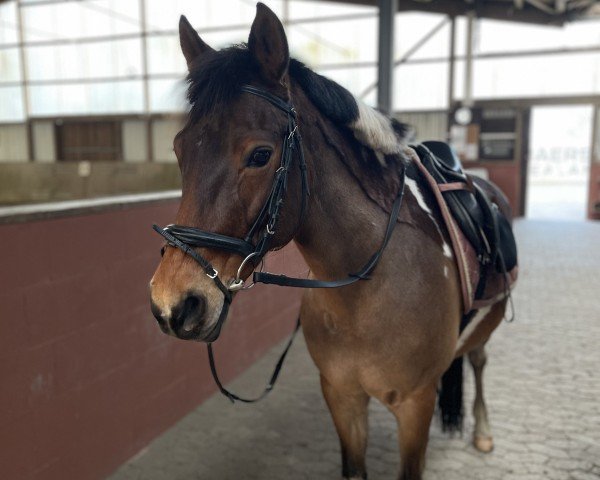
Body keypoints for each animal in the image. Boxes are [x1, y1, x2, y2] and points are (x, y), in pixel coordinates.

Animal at [150, 4, 516, 480]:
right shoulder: (343, 399)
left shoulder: (415, 407)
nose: (173, 303)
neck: (365, 292)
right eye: (179, 150)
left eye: (260, 155)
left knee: (479, 360)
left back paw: (483, 431)